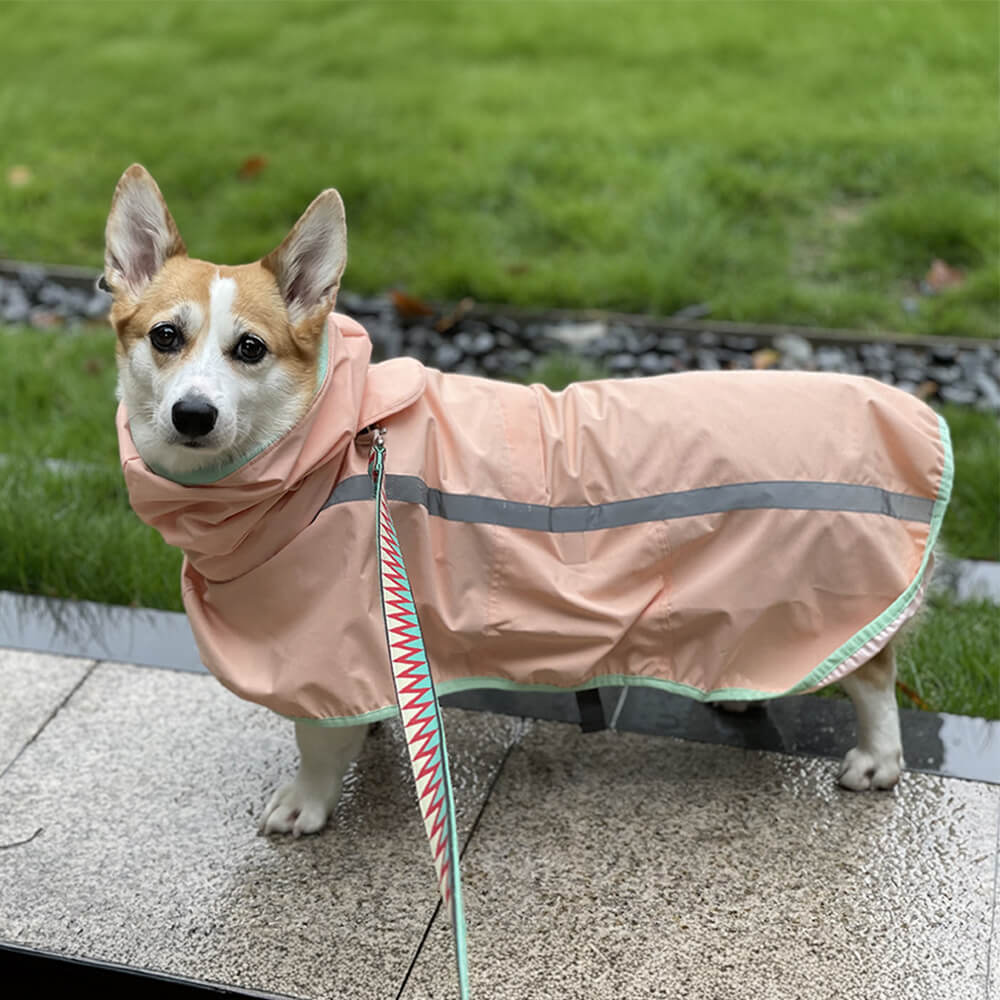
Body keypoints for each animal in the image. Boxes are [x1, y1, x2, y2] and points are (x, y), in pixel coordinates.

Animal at [107, 166, 952, 836]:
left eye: (249, 348)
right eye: (164, 337)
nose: (192, 415)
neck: (328, 434)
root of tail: (907, 409)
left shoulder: (324, 645)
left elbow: (315, 745)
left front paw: (304, 804)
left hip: (832, 587)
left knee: (874, 677)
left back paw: (876, 759)